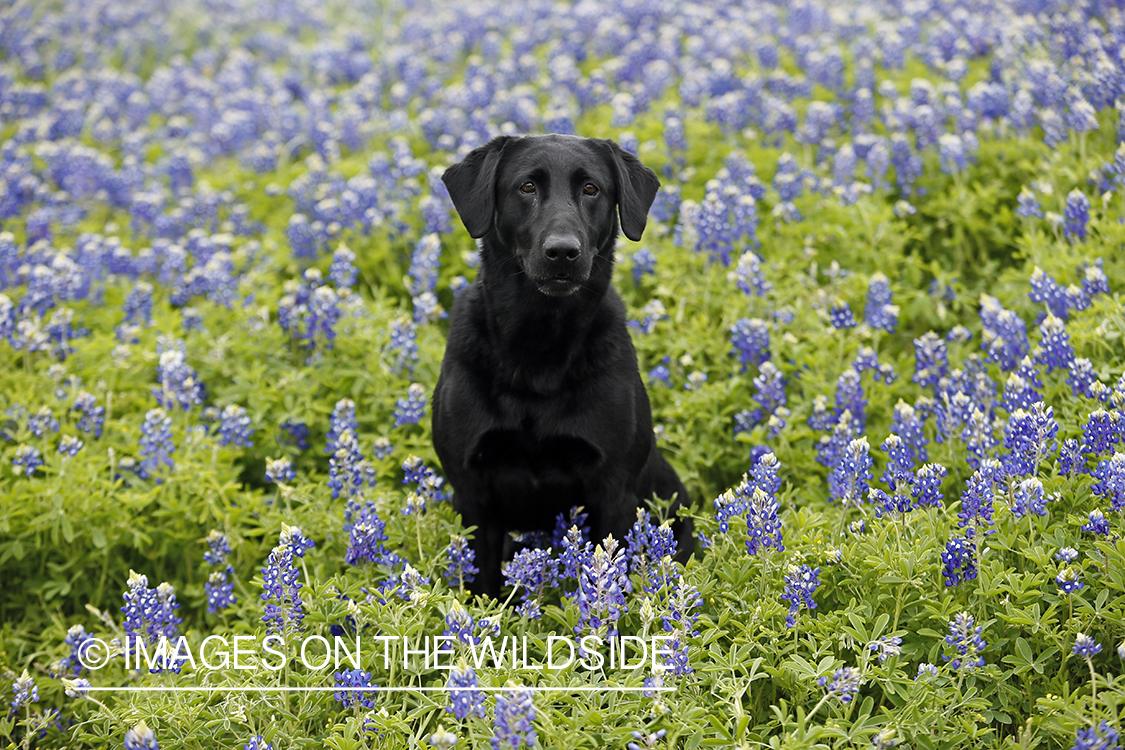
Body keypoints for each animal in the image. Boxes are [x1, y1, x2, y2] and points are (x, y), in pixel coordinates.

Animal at [432, 132, 688, 593]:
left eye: (591, 189)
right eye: (526, 187)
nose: (564, 252)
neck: (540, 348)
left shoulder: (614, 489)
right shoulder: (472, 491)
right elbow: (480, 583)